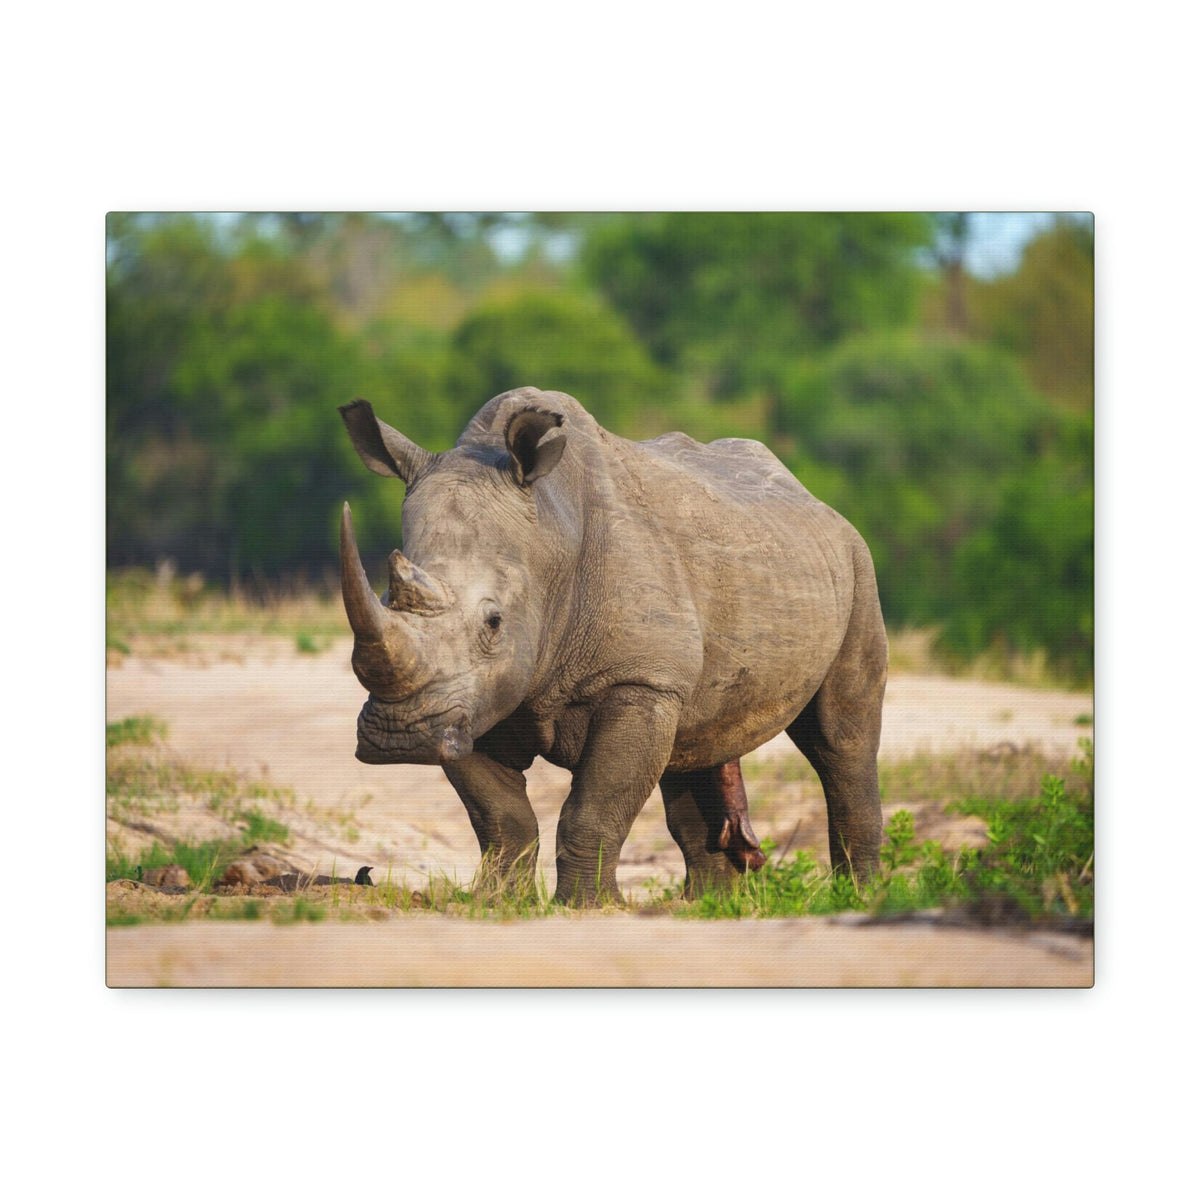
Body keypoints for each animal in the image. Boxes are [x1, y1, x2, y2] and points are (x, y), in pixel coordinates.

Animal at [339, 387, 886, 905]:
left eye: (494, 623)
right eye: (386, 600)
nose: (399, 735)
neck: (550, 539)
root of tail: (812, 498)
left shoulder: (638, 678)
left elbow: (595, 806)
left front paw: (587, 907)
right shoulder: (464, 702)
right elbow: (501, 818)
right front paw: (497, 903)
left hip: (856, 563)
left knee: (841, 739)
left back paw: (856, 895)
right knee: (695, 743)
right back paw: (706, 903)